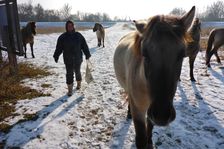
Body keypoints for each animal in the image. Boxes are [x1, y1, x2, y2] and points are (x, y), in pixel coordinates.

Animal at [113, 6, 195, 149]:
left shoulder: (151, 110)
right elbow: (140, 138)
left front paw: (150, 142)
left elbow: (150, 126)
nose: (162, 115)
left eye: (182, 55)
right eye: (144, 53)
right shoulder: (139, 110)